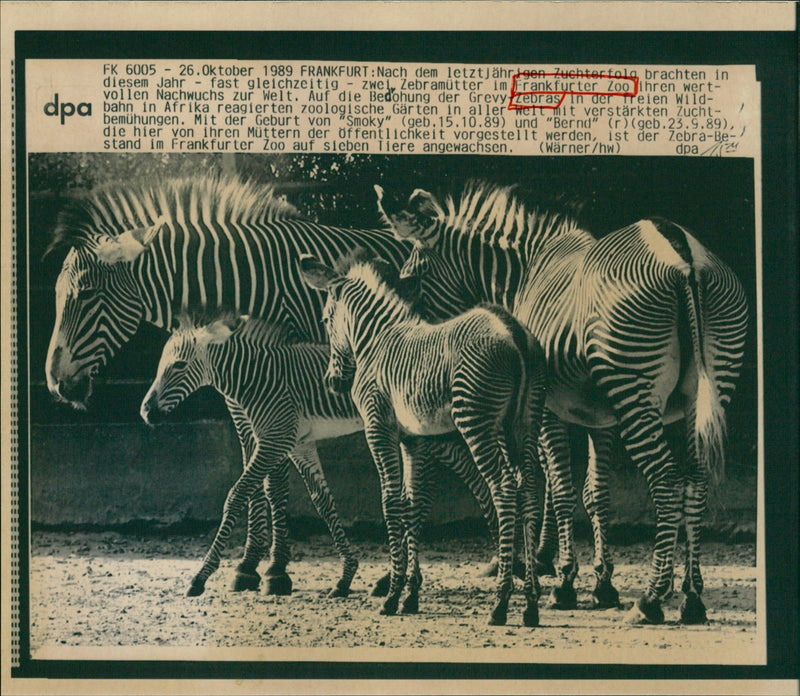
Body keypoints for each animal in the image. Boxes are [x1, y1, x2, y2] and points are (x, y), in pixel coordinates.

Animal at [141, 316, 362, 600]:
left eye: (179, 365)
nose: (145, 412)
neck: (256, 378)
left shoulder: (275, 439)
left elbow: (236, 495)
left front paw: (201, 576)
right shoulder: (298, 444)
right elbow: (323, 502)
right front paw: (346, 575)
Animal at [302, 253, 552, 628]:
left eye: (327, 319)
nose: (333, 382)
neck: (376, 339)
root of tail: (514, 331)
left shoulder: (379, 426)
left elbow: (391, 502)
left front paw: (392, 595)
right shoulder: (413, 439)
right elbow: (414, 505)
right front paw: (411, 594)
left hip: (476, 421)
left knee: (503, 488)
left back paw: (501, 602)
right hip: (523, 424)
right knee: (531, 489)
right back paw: (532, 604)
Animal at [378, 181, 748, 624]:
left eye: (413, 278)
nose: (407, 352)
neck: (526, 270)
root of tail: (683, 256)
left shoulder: (546, 410)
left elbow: (557, 488)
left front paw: (563, 581)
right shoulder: (599, 417)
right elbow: (595, 493)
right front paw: (601, 583)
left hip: (634, 388)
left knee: (666, 481)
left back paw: (651, 599)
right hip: (707, 389)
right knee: (696, 480)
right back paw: (691, 597)